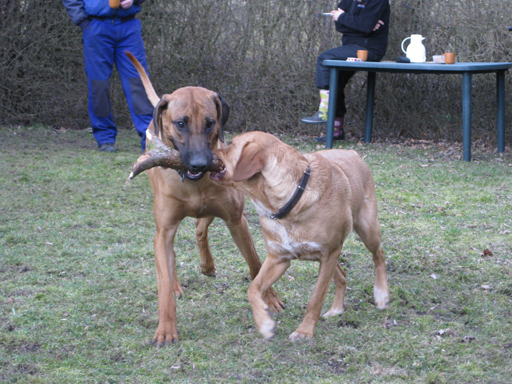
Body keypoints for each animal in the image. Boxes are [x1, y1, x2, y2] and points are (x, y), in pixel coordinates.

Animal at [124, 50, 284, 344]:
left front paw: (269, 298)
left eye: (210, 123)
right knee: (174, 253)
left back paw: (207, 264)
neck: (192, 183)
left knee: (200, 226)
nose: (200, 164)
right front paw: (166, 329)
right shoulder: (164, 230)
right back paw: (177, 284)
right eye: (181, 123)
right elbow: (163, 277)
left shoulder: (237, 221)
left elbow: (256, 264)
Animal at [210, 133, 390, 342]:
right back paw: (336, 309)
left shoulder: (329, 253)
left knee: (379, 255)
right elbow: (253, 289)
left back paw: (381, 295)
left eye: (230, 144)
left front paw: (304, 331)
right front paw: (265, 323)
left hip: (367, 230)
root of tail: (352, 152)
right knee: (342, 275)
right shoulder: (278, 259)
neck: (288, 202)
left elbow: (316, 299)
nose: (205, 152)